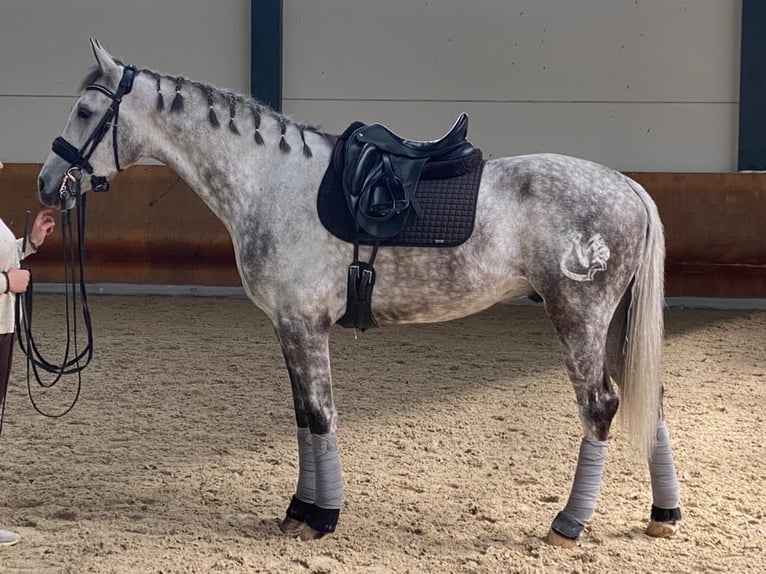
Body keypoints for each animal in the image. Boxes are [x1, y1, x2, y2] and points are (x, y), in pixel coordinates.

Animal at [37, 41, 684, 548]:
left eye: (86, 109)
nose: (47, 185)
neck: (272, 182)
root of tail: (627, 188)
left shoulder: (304, 324)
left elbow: (321, 414)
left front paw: (323, 516)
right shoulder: (288, 326)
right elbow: (304, 417)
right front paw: (300, 511)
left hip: (578, 318)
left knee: (600, 407)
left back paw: (568, 525)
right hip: (615, 325)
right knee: (648, 400)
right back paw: (664, 515)